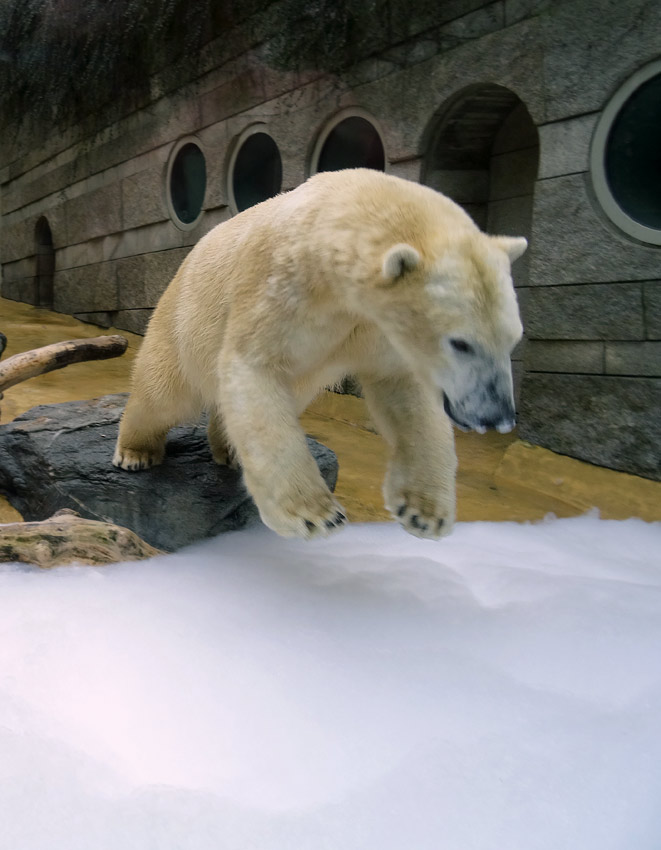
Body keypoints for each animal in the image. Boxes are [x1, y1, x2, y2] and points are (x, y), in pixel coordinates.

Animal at [113, 169, 524, 540]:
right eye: (461, 343)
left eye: (513, 339)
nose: (497, 416)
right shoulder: (283, 285)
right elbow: (255, 370)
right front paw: (315, 515)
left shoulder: (375, 327)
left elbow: (403, 390)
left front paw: (424, 512)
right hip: (182, 321)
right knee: (164, 394)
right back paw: (136, 452)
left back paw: (228, 449)